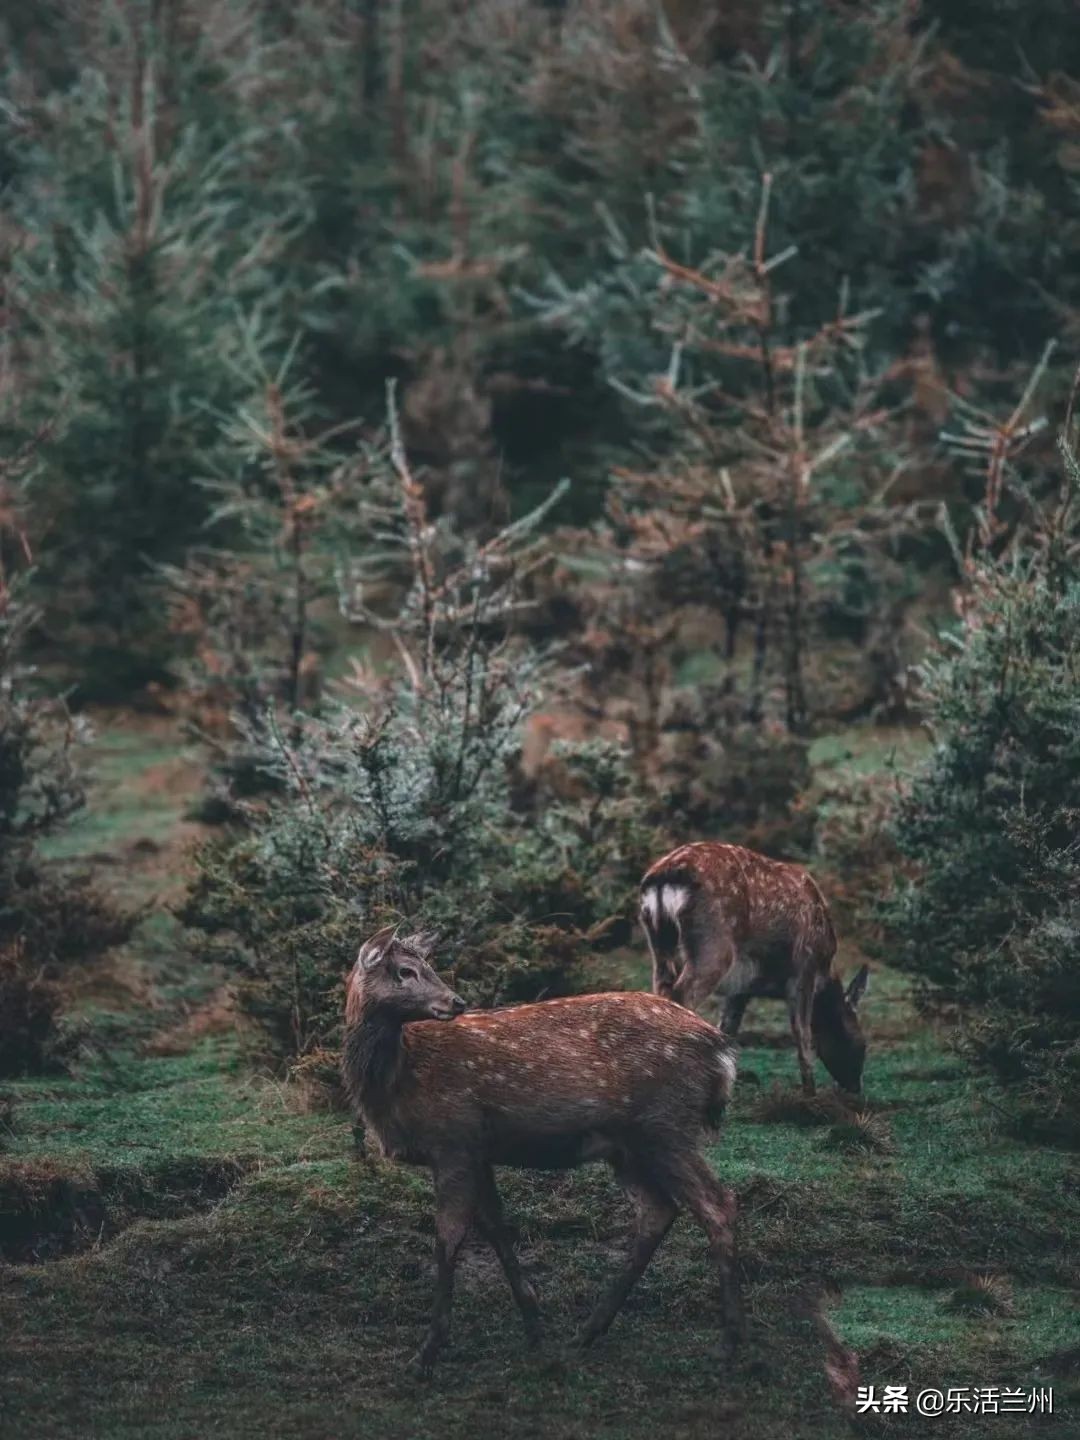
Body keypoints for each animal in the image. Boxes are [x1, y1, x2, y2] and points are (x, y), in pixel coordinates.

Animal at [342, 921, 743, 1370]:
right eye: (406, 971)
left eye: (425, 966)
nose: (456, 1001)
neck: (398, 1083)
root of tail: (723, 1053)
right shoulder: (478, 1150)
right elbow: (496, 1228)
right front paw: (534, 1324)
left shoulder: (452, 1138)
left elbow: (449, 1235)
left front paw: (427, 1351)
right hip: (629, 1145)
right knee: (658, 1211)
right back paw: (588, 1331)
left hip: (666, 1126)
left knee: (717, 1205)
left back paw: (730, 1342)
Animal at [642, 840, 869, 1094]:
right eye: (863, 1044)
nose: (856, 1088)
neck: (825, 969)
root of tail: (664, 877)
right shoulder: (804, 969)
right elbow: (802, 1032)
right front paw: (810, 1092)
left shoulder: (741, 988)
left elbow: (728, 1029)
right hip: (714, 947)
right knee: (680, 996)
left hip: (659, 942)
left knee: (660, 991)